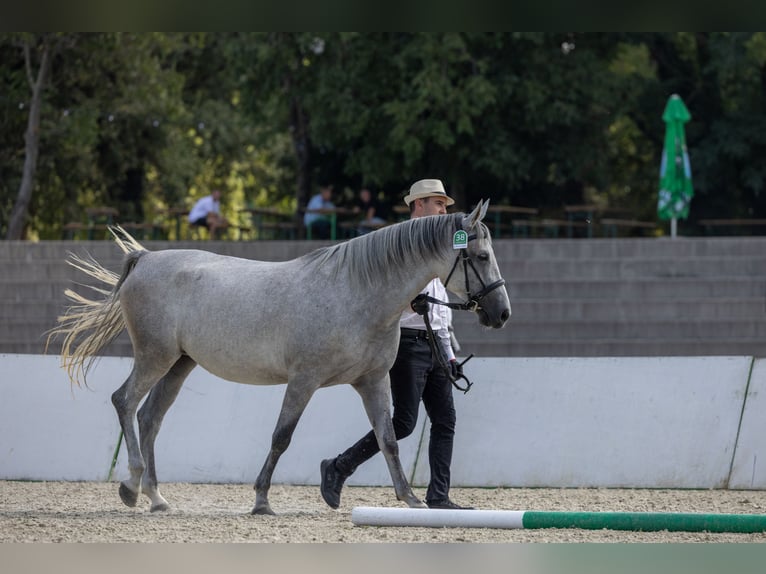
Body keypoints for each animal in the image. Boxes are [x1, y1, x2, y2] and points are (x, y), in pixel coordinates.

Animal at [51, 200, 512, 516]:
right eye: (481, 256)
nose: (501, 314)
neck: (355, 292)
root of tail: (144, 258)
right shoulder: (303, 380)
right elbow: (281, 437)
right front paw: (261, 500)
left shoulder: (374, 381)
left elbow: (387, 438)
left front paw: (410, 499)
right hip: (154, 356)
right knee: (125, 402)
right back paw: (130, 486)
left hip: (180, 363)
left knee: (150, 418)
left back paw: (156, 496)